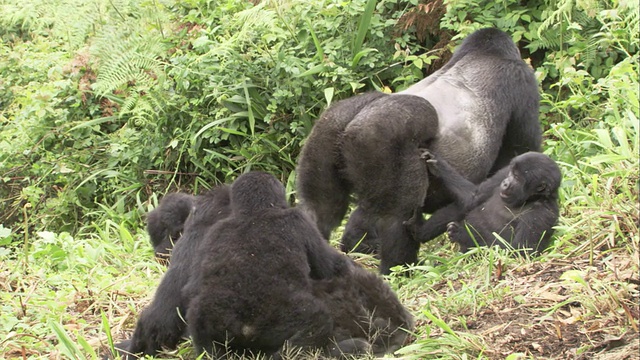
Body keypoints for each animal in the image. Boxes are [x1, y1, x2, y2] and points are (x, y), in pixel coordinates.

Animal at [298, 28, 544, 274]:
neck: (486, 54)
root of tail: (350, 123)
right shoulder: (521, 79)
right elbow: (521, 153)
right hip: (377, 134)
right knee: (396, 216)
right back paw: (400, 269)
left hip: (328, 128)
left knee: (321, 209)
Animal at [412, 150, 564, 255]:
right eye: (511, 172)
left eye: (516, 177)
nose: (506, 183)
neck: (530, 198)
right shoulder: (502, 174)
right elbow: (474, 196)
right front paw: (437, 164)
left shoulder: (542, 214)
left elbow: (519, 251)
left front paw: (465, 235)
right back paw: (418, 230)